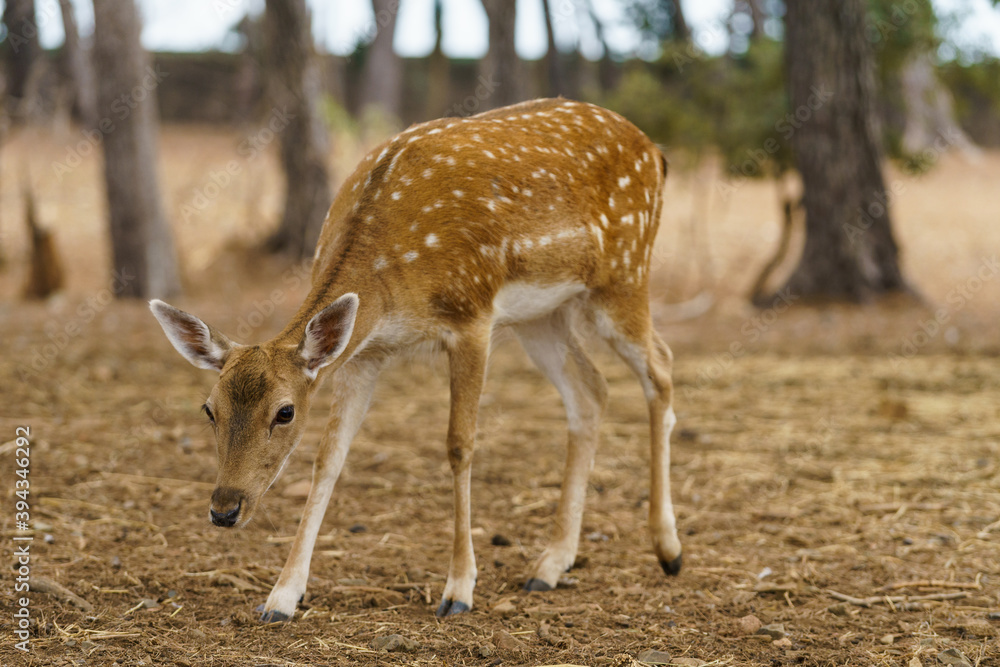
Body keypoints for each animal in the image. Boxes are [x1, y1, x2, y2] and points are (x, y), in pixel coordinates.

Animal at [150, 98, 682, 622]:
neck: (391, 285)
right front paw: (281, 596)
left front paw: (459, 589)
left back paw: (668, 549)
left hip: (624, 275)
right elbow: (329, 457)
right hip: (541, 315)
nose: (224, 509)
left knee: (660, 368)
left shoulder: (472, 319)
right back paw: (550, 565)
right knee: (591, 391)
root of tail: (656, 154)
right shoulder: (363, 354)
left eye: (285, 412)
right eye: (209, 409)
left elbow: (459, 445)